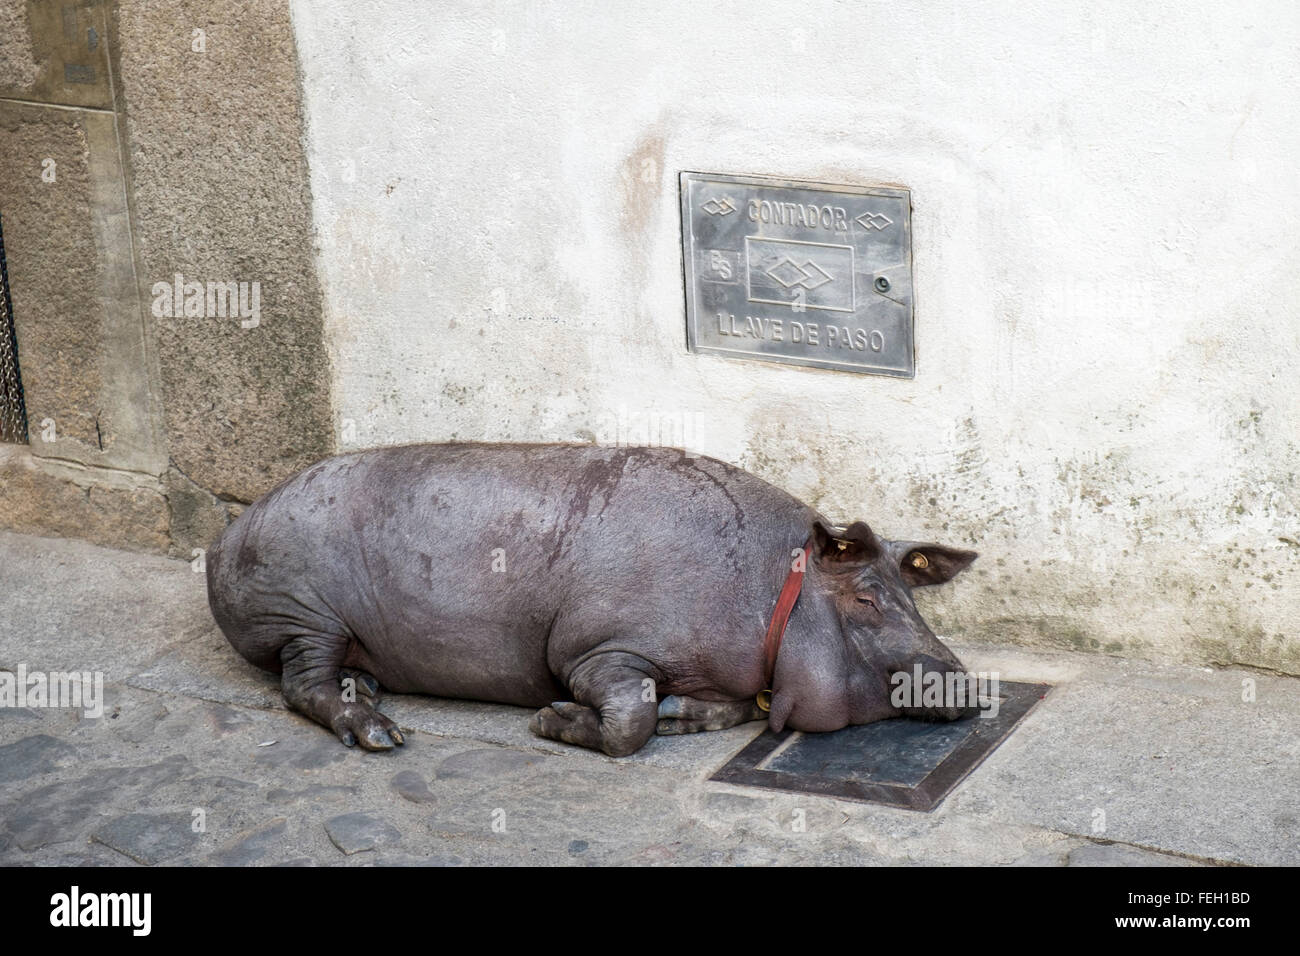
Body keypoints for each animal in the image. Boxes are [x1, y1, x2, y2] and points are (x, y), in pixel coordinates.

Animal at [205, 444, 977, 759]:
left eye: (912, 597)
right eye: (868, 597)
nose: (965, 680)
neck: (767, 592)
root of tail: (225, 535)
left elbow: (721, 708)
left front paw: (682, 714)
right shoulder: (596, 646)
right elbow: (627, 721)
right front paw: (549, 720)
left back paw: (367, 691)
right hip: (301, 612)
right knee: (300, 684)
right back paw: (382, 734)